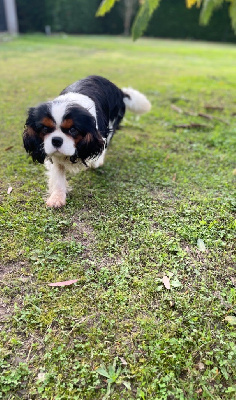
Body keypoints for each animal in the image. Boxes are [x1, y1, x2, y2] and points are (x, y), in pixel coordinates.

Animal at [22, 75, 151, 208]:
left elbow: (101, 147)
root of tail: (119, 90)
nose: (56, 140)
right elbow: (58, 176)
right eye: (45, 129)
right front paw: (57, 197)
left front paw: (96, 161)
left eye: (73, 130)